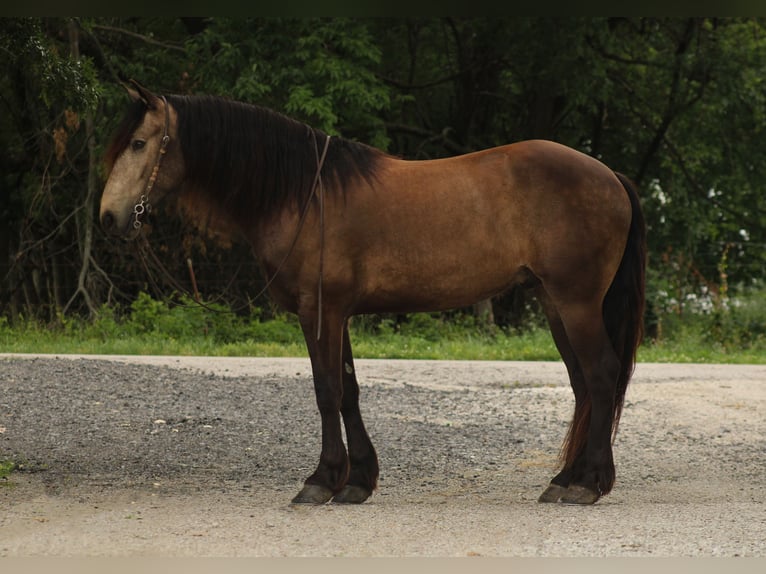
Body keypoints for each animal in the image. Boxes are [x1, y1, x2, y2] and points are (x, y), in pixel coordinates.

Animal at [100, 80, 646, 506]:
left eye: (140, 144)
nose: (108, 216)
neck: (304, 193)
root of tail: (610, 175)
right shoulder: (336, 314)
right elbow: (349, 392)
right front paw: (357, 480)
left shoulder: (318, 311)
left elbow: (326, 392)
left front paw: (321, 480)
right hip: (555, 303)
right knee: (582, 385)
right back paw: (565, 479)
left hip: (576, 303)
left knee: (601, 375)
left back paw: (588, 484)